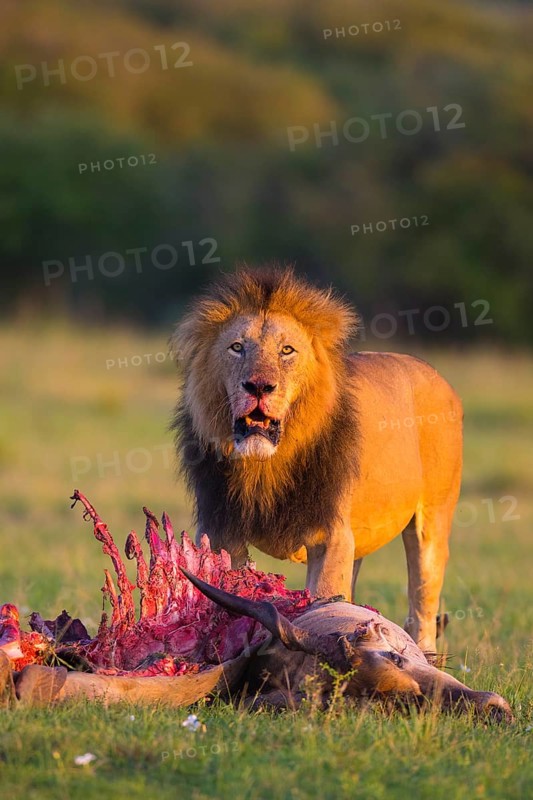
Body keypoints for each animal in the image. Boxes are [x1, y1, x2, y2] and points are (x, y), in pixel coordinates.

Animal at [171, 267, 463, 653]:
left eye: (287, 350)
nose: (259, 386)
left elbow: (325, 603)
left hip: (432, 522)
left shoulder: (331, 537)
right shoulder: (220, 532)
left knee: (422, 604)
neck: (267, 466)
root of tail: (434, 372)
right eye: (237, 347)